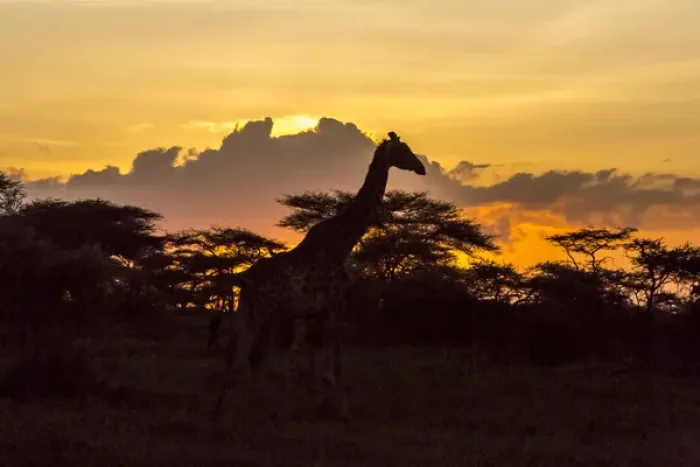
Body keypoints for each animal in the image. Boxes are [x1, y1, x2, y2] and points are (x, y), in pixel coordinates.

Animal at [213, 131, 426, 420]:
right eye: (404, 150)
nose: (421, 167)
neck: (344, 242)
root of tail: (244, 279)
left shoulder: (311, 313)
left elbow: (309, 363)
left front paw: (314, 406)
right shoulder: (335, 304)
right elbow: (335, 363)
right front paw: (344, 412)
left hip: (245, 311)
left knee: (232, 352)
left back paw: (221, 410)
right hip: (269, 313)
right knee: (254, 356)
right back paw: (258, 409)